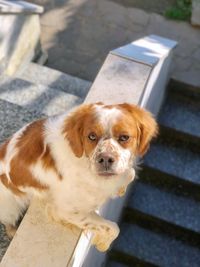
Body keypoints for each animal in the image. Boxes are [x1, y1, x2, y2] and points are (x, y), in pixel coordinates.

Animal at [0, 103, 158, 252]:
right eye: (92, 136)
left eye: (124, 137)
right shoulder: (67, 210)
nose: (105, 159)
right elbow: (113, 228)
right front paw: (102, 244)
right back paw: (12, 230)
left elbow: (130, 173)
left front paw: (121, 188)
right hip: (9, 207)